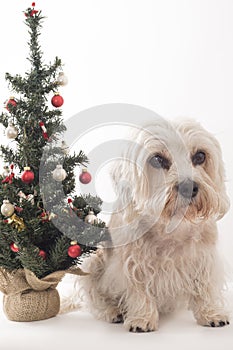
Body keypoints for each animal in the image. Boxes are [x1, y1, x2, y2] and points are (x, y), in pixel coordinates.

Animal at [81, 119, 230, 332]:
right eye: (158, 160)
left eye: (200, 156)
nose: (189, 187)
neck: (171, 226)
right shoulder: (131, 263)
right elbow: (138, 290)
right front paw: (142, 319)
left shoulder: (205, 257)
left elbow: (205, 287)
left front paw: (211, 313)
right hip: (92, 260)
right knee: (95, 298)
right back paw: (112, 311)